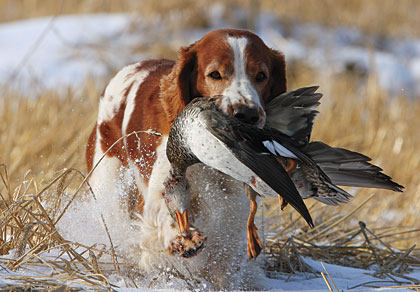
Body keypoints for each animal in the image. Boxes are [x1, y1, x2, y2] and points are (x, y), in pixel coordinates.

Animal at [87, 28, 288, 280]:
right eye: (214, 74)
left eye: (261, 75)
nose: (247, 114)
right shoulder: (163, 185)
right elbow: (168, 210)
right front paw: (183, 239)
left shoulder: (234, 203)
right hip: (110, 188)